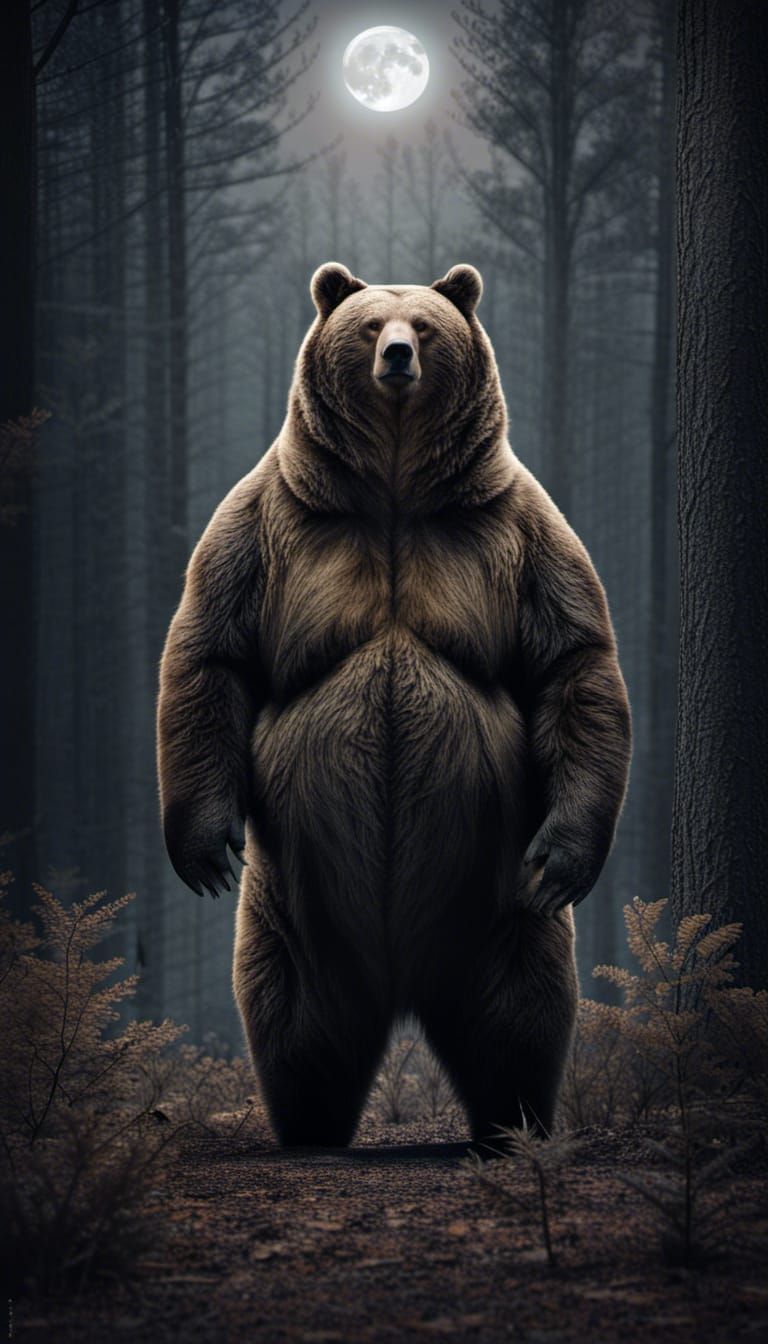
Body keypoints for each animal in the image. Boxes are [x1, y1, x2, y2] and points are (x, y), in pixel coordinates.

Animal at [157, 261, 632, 1148]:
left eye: (429, 326)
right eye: (372, 325)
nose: (400, 358)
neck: (393, 489)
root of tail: (404, 980)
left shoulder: (515, 524)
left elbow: (572, 659)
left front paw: (569, 857)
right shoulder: (270, 519)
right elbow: (212, 651)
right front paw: (204, 852)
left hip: (496, 890)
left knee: (525, 1000)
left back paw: (514, 1119)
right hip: (295, 893)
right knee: (288, 1002)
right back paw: (308, 1119)